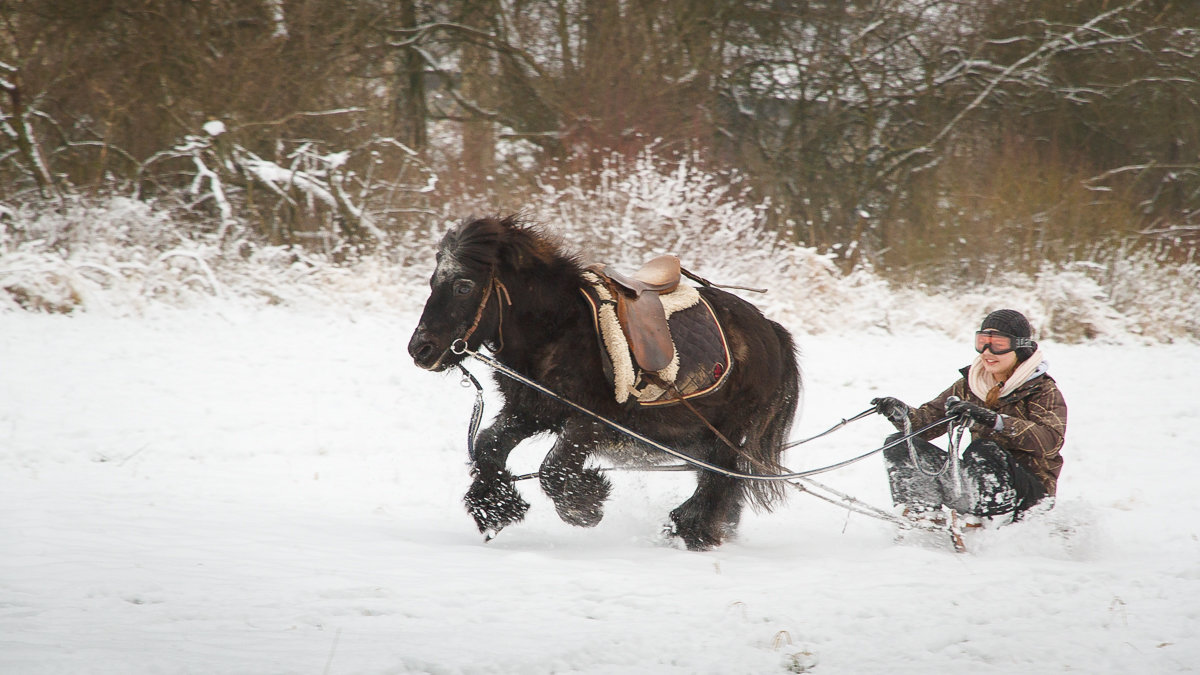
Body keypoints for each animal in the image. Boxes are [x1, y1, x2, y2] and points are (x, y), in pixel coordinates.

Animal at [408, 214, 801, 547]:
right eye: (433, 281)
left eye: (463, 286)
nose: (420, 349)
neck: (559, 329)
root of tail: (771, 331)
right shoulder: (530, 411)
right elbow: (489, 445)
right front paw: (495, 508)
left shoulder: (590, 422)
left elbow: (553, 469)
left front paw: (586, 505)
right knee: (722, 483)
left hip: (729, 433)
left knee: (721, 480)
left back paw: (691, 530)